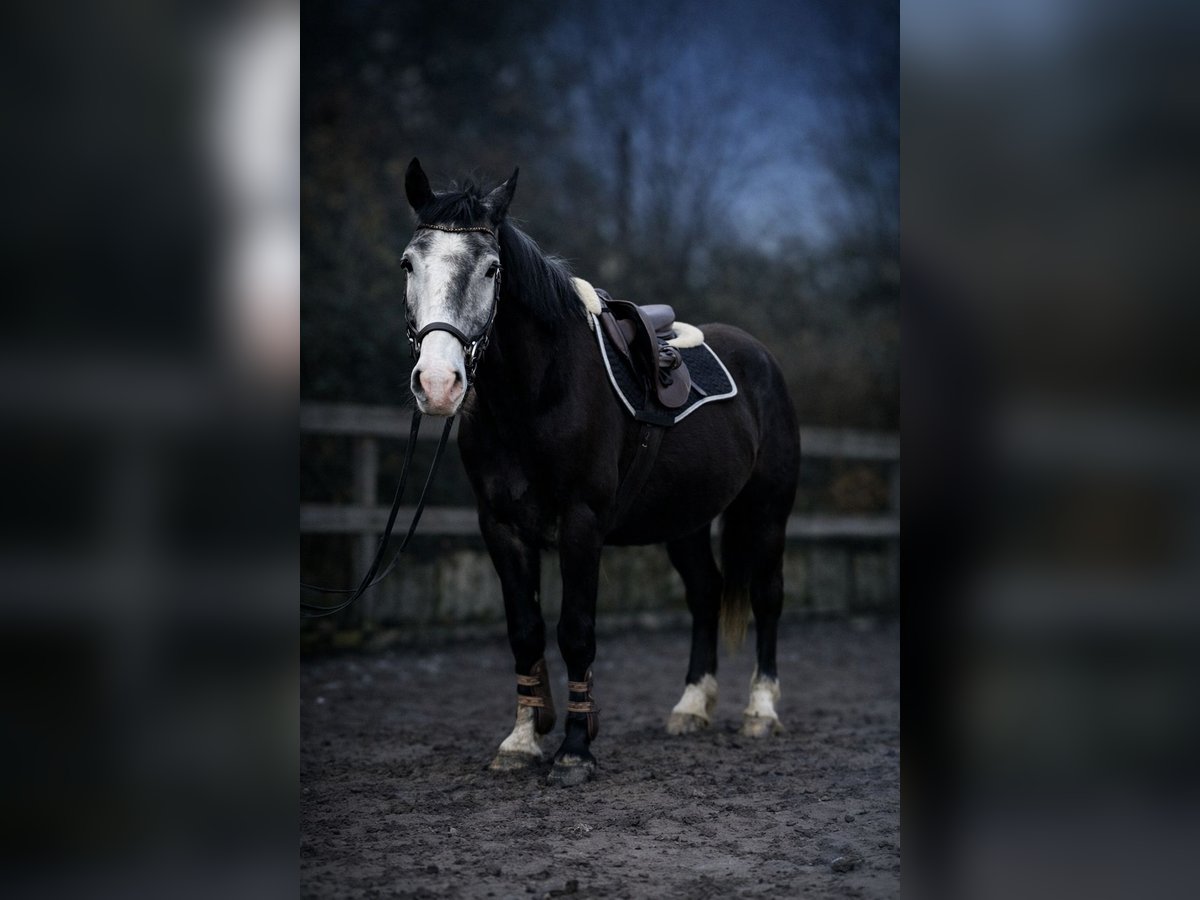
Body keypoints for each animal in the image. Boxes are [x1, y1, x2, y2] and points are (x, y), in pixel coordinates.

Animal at [401, 158, 799, 786]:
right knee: (706, 594)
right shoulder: (501, 527)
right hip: (685, 522)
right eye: (408, 263)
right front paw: (521, 741)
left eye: (492, 268)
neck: (537, 393)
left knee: (767, 596)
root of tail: (761, 358)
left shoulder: (581, 524)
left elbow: (576, 633)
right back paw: (692, 706)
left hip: (766, 513)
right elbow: (525, 631)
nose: (438, 384)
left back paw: (761, 712)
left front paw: (574, 751)